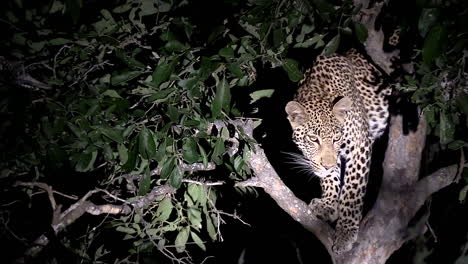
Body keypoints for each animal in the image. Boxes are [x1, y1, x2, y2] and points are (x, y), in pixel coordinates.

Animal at [286, 49, 392, 254]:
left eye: (336, 139)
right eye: (313, 139)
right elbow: (329, 177)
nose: (327, 165)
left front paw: (346, 233)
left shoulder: (360, 145)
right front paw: (328, 205)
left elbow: (352, 192)